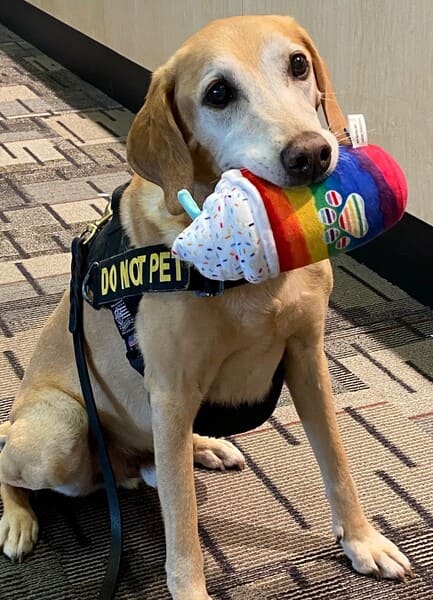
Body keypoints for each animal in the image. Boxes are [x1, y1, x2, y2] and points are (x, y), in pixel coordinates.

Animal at [0, 14, 412, 600]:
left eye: (298, 64)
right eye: (218, 93)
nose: (312, 153)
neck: (253, 274)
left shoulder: (308, 358)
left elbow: (337, 462)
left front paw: (363, 542)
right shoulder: (171, 392)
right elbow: (182, 522)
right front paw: (190, 586)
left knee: (154, 464)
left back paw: (201, 448)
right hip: (60, 429)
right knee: (13, 464)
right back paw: (19, 517)